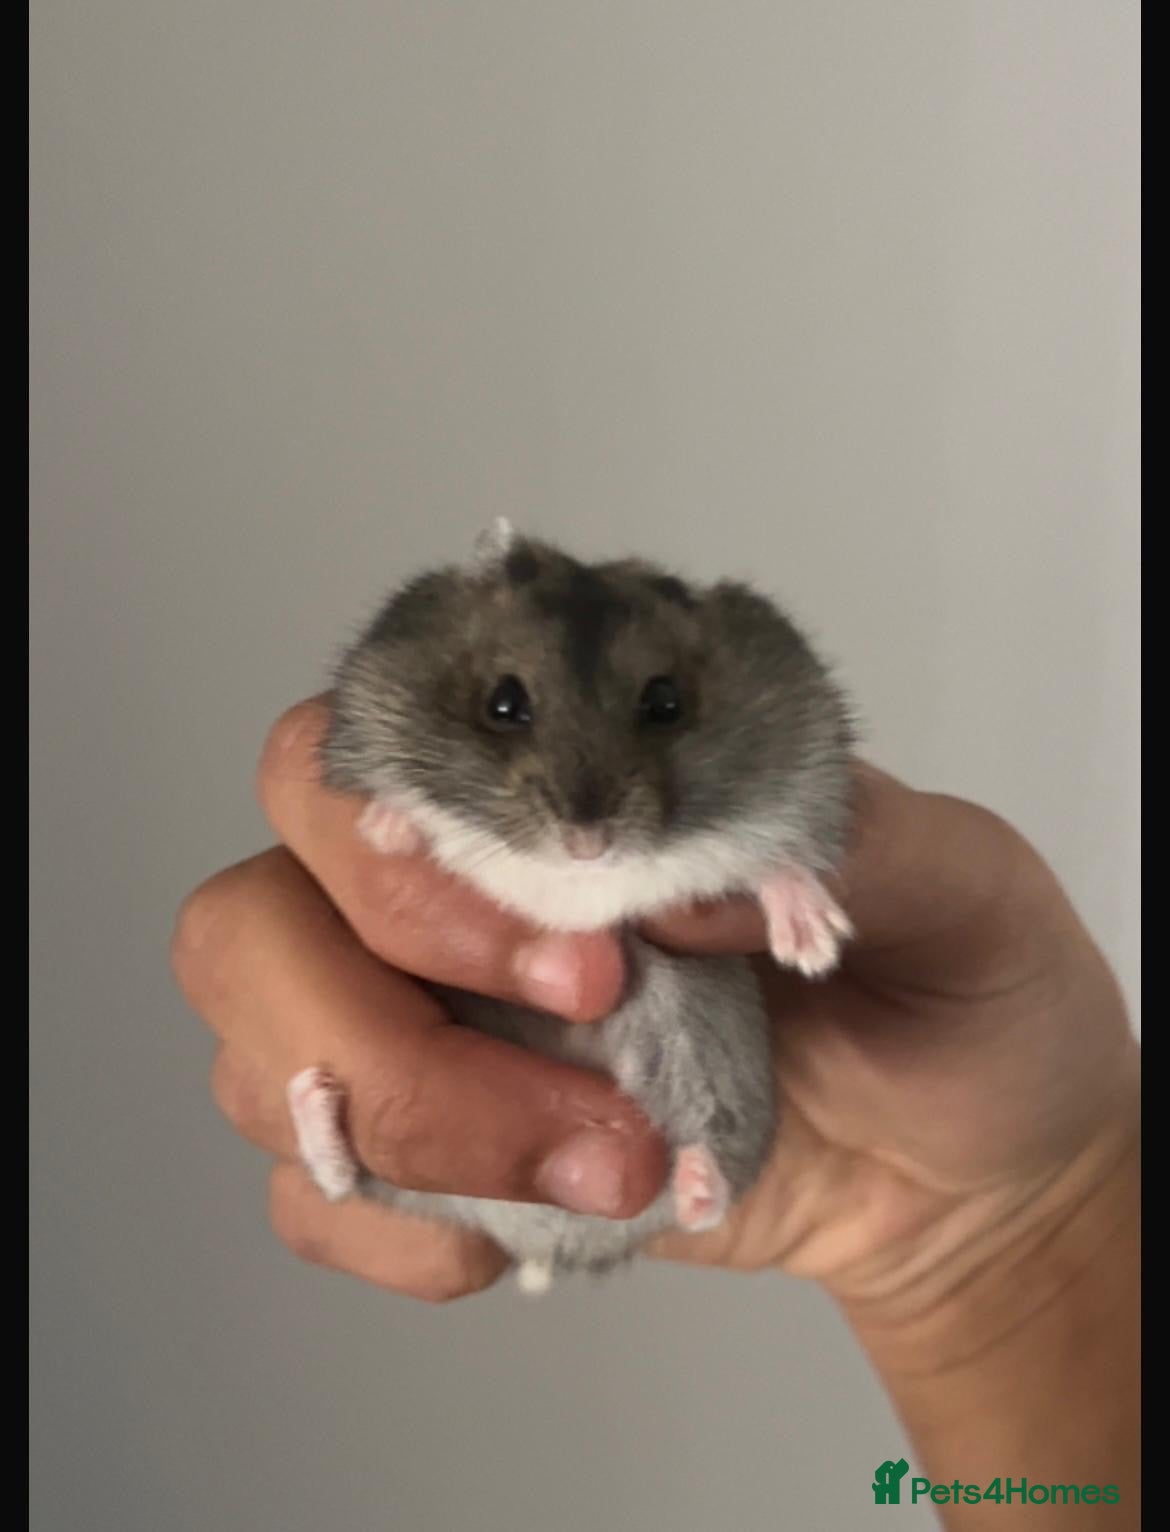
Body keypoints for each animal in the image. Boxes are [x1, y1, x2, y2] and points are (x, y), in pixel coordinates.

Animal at [287, 519, 855, 1294]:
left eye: (666, 703)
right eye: (503, 703)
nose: (586, 842)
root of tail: (548, 1249)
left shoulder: (808, 760)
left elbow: (783, 859)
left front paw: (815, 945)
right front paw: (385, 829)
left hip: (713, 1054)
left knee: (707, 1186)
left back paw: (700, 1181)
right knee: (348, 1184)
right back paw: (313, 1098)